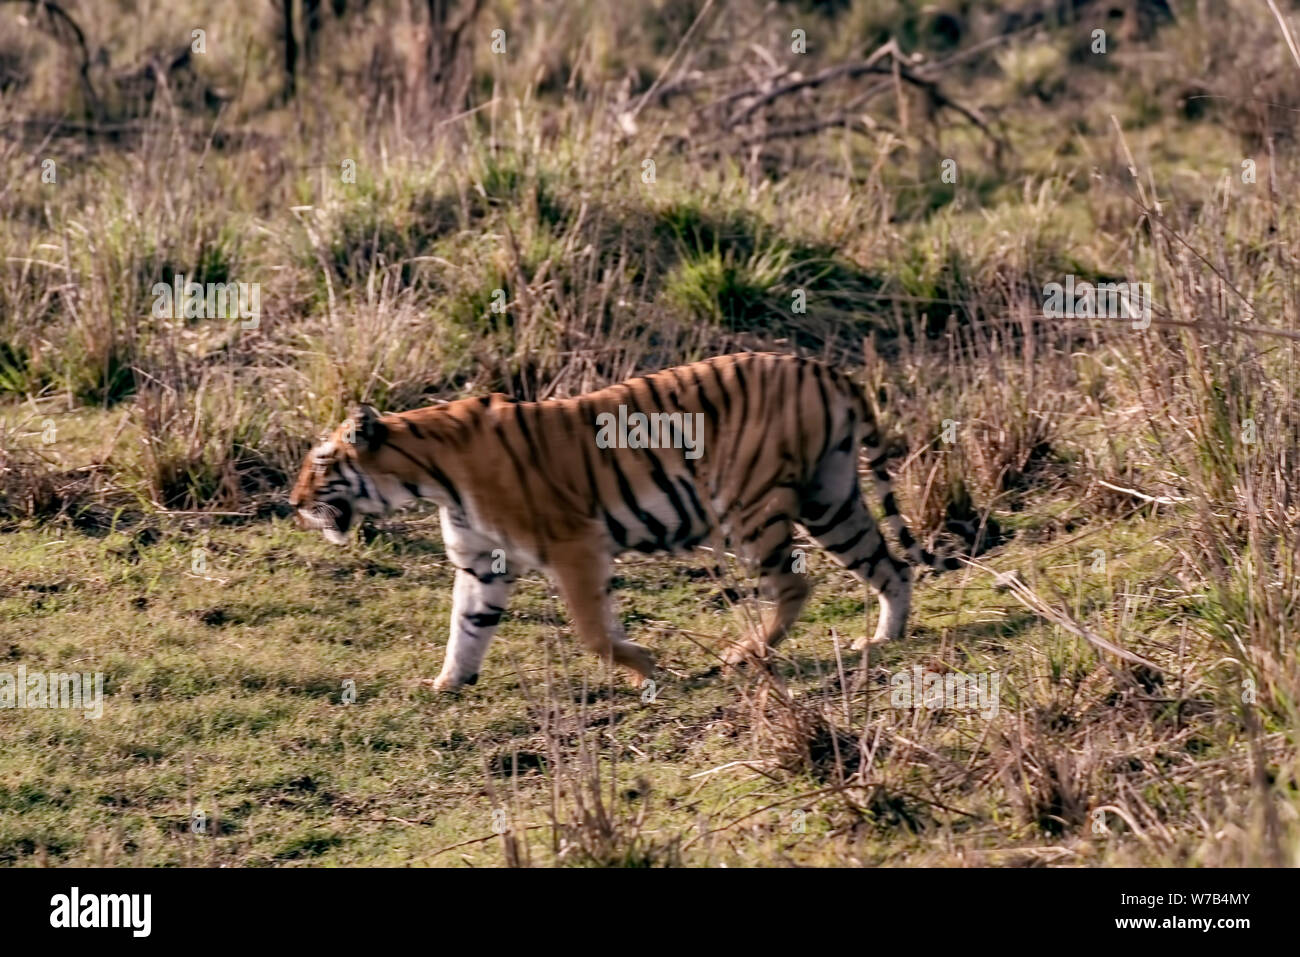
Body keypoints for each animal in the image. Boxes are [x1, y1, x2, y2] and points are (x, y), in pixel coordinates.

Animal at [295, 351, 967, 686]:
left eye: (320, 462)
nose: (295, 502)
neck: (428, 474)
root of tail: (829, 370)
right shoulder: (482, 564)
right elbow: (467, 629)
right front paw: (447, 685)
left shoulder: (575, 546)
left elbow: (595, 632)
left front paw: (647, 669)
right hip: (829, 499)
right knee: (889, 567)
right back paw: (882, 639)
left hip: (752, 506)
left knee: (795, 583)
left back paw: (743, 655)